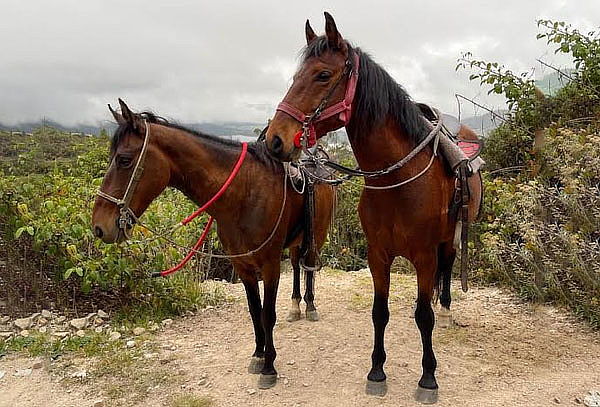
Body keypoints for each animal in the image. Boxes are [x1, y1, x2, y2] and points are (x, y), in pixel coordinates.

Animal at [92, 100, 336, 390]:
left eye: (124, 160)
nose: (99, 227)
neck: (244, 193)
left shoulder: (270, 264)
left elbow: (267, 314)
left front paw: (269, 367)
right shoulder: (242, 264)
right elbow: (254, 311)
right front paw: (258, 355)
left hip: (317, 234)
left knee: (308, 265)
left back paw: (309, 305)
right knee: (298, 266)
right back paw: (296, 305)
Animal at [264, 12, 486, 404]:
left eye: (323, 75)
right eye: (295, 78)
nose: (276, 139)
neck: (398, 181)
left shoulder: (424, 256)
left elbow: (423, 317)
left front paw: (428, 377)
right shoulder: (378, 256)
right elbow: (379, 313)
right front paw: (377, 371)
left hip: (448, 239)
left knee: (447, 269)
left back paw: (445, 309)